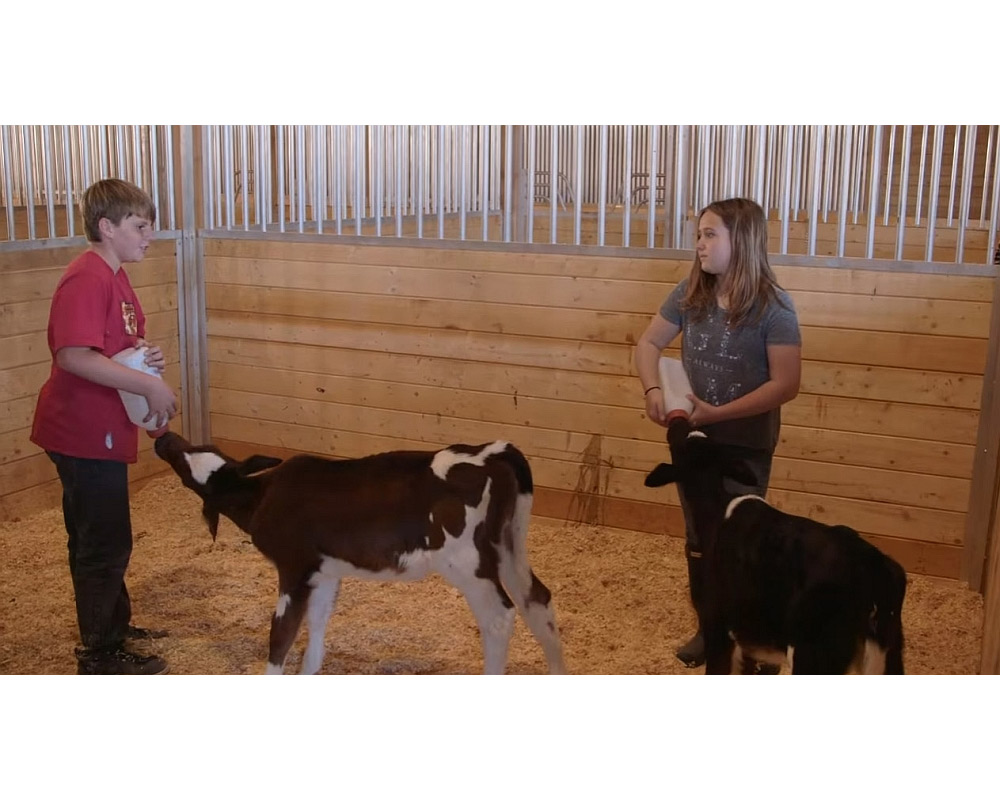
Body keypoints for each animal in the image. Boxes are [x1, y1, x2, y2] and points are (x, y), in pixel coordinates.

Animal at [153, 432, 568, 676]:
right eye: (195, 447)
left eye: (183, 460)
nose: (164, 436)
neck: (260, 497)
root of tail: (490, 452)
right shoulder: (324, 572)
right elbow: (316, 629)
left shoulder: (293, 567)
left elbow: (281, 636)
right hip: (510, 545)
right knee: (537, 599)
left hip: (467, 561)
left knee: (498, 616)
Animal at [644, 418, 912, 676]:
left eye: (679, 444)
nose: (678, 421)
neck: (716, 511)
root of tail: (873, 562)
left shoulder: (718, 625)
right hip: (888, 653)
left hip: (812, 655)